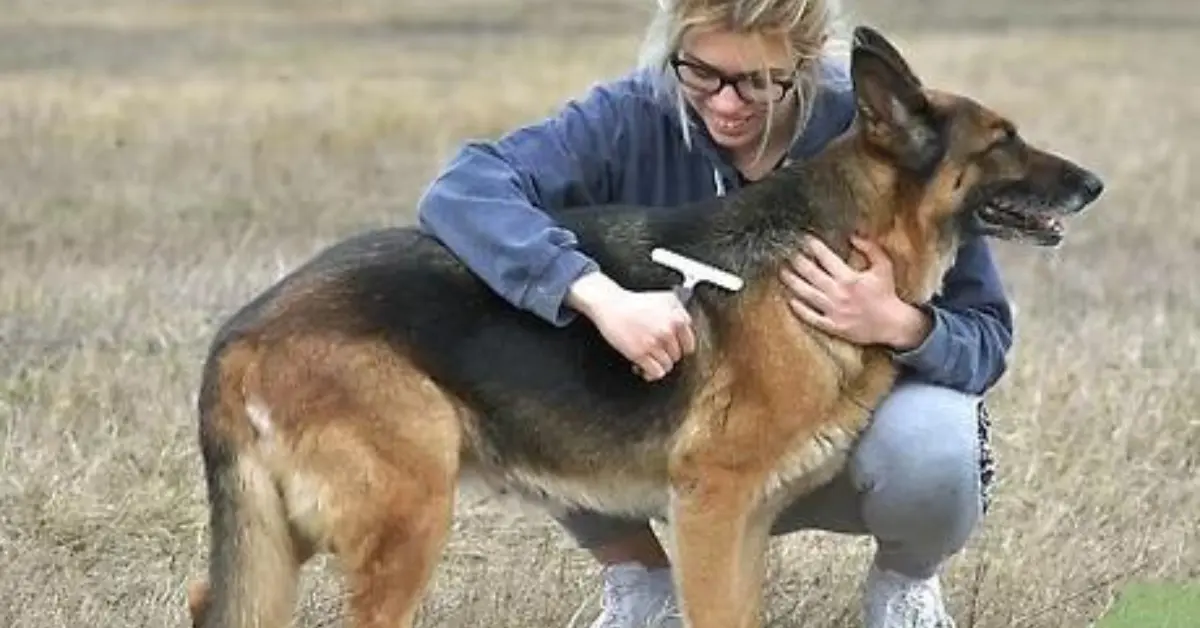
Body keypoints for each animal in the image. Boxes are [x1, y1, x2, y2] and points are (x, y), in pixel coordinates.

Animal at [189, 25, 1104, 628]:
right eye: (1003, 140)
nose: (1094, 183)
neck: (838, 237)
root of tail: (243, 331)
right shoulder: (713, 511)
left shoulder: (743, 525)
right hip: (407, 522)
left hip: (293, 538)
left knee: (212, 597)